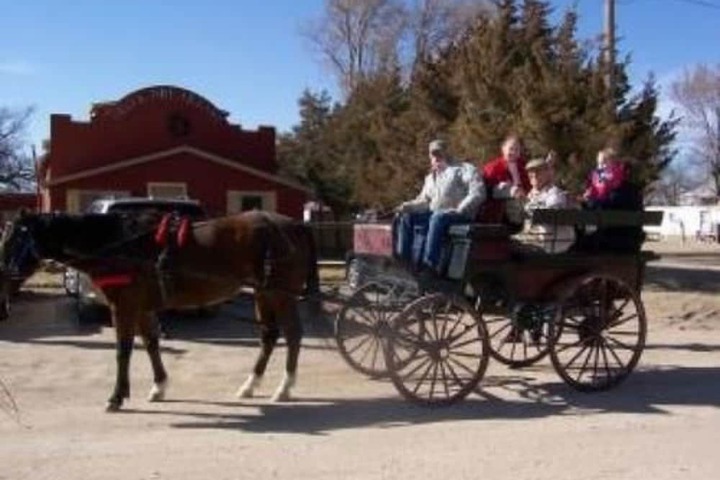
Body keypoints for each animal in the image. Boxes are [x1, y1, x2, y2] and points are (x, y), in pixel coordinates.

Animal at [0, 210, 320, 412]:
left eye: (16, 239)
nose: (4, 275)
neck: (118, 246)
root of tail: (295, 225)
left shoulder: (124, 305)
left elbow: (123, 351)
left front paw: (116, 397)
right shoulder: (142, 308)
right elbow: (151, 344)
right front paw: (159, 387)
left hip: (280, 293)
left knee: (293, 334)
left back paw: (284, 388)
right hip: (264, 292)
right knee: (269, 336)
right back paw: (250, 385)